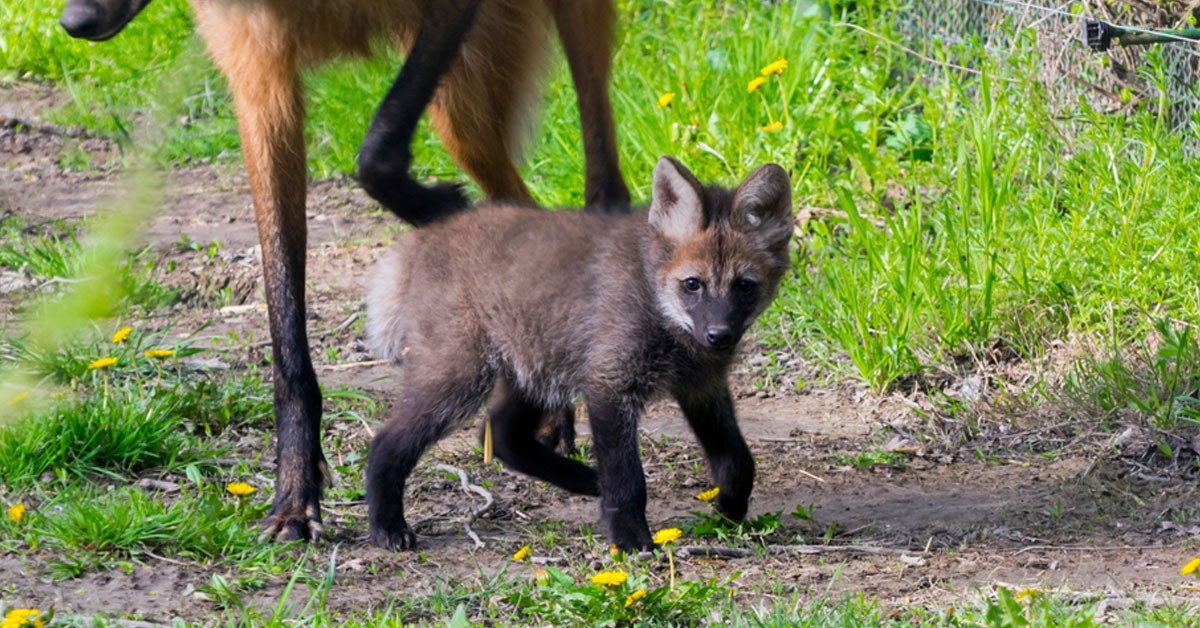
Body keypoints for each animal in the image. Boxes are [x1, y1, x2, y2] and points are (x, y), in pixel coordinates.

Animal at [58, 0, 629, 541]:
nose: (75, 22)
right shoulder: (259, 74)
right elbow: (285, 319)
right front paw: (294, 495)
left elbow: (375, 154)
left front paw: (441, 205)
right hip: (466, 105)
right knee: (517, 199)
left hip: (484, 73)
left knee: (602, 181)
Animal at [365, 157, 793, 550]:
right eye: (693, 284)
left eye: (744, 286)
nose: (718, 336)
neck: (660, 308)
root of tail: (425, 236)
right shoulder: (610, 384)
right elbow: (628, 481)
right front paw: (631, 540)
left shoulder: (701, 387)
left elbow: (738, 462)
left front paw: (729, 511)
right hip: (462, 379)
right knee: (387, 443)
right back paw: (387, 527)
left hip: (534, 370)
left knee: (500, 435)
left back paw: (584, 478)